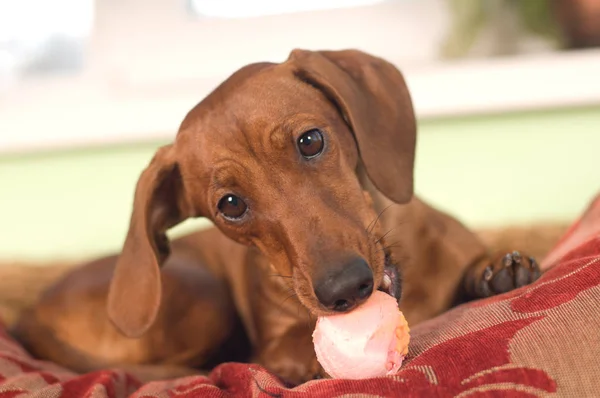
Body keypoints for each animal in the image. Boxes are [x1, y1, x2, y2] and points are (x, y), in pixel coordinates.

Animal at [11, 48, 540, 384]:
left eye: (311, 140)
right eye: (230, 205)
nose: (344, 289)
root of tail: (29, 313)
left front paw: (495, 272)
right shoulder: (274, 339)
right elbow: (287, 348)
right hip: (202, 293)